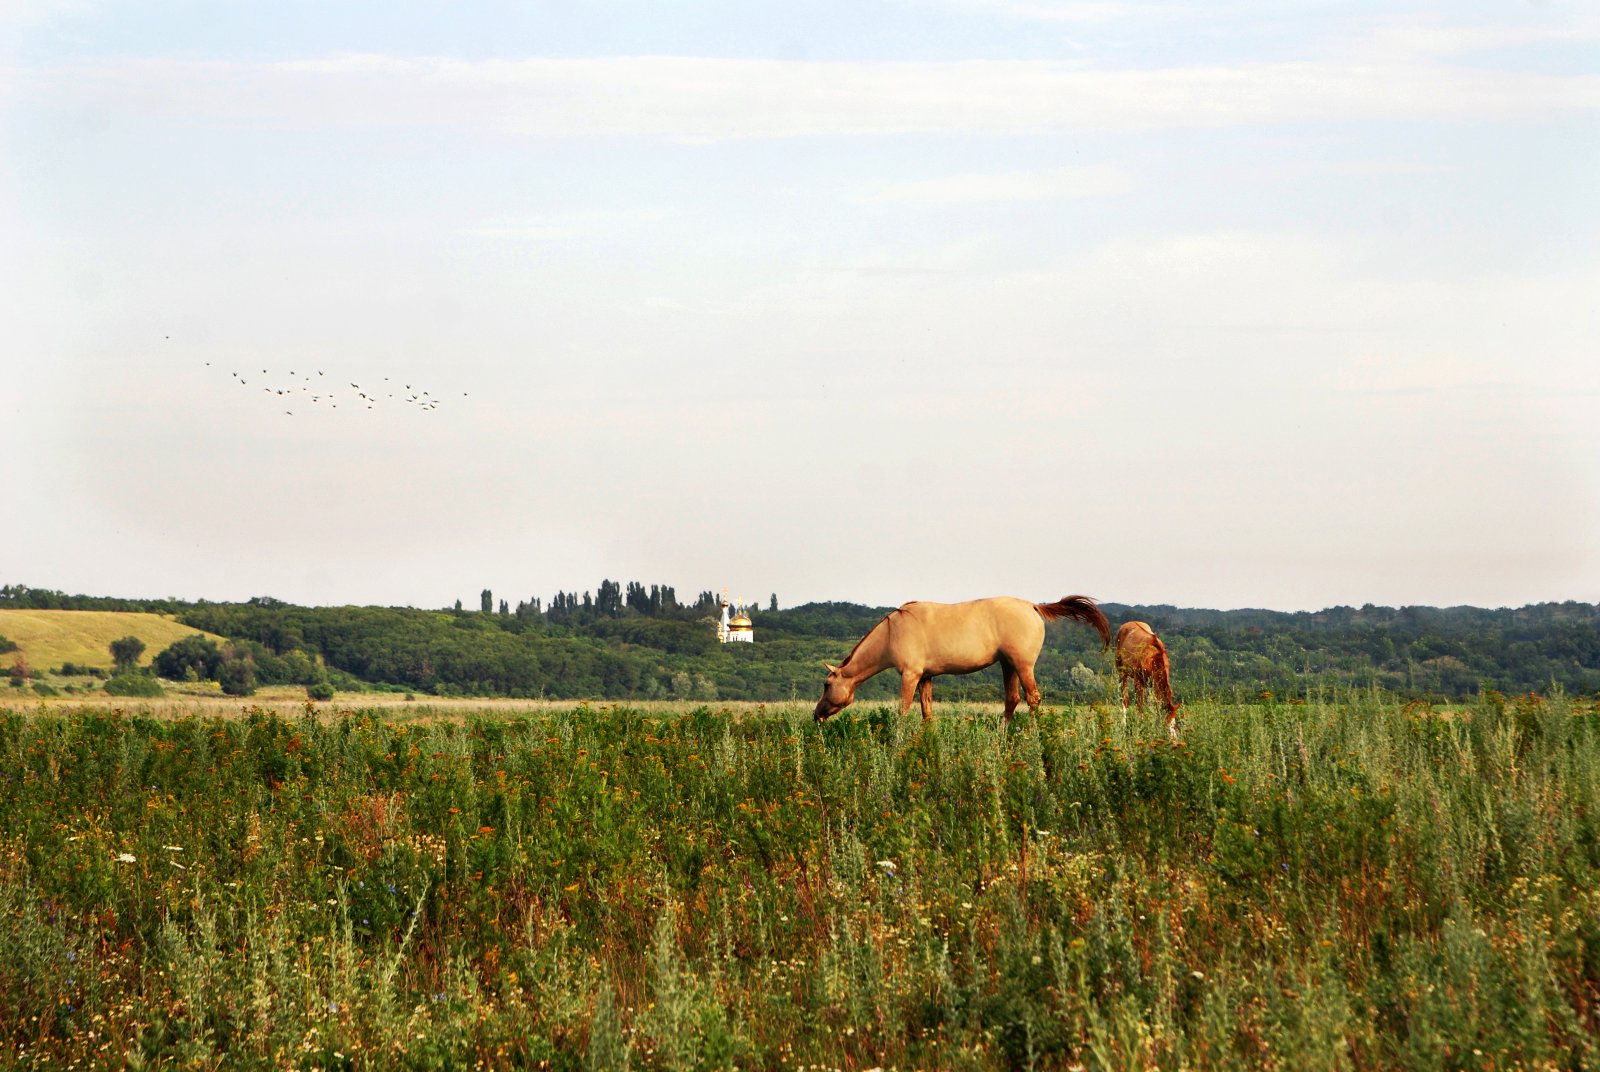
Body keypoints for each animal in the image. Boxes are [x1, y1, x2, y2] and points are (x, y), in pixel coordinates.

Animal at [812, 595, 1113, 723]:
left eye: (826, 685)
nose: (817, 715)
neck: (892, 630)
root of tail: (1033, 606)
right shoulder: (926, 677)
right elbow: (927, 711)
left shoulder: (910, 675)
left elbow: (903, 710)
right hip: (1008, 665)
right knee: (1012, 700)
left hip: (1022, 665)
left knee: (1033, 699)